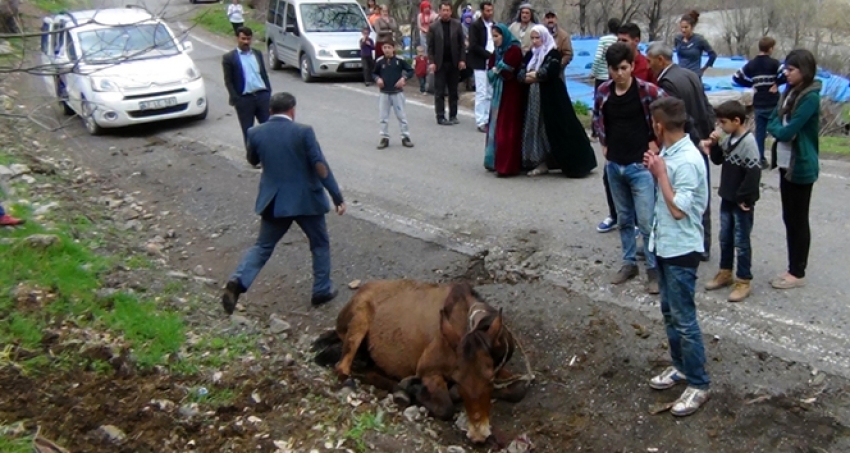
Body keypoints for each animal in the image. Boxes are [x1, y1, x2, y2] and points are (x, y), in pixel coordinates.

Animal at [312, 278, 528, 444]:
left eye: (490, 379)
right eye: (458, 379)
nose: (478, 435)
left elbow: (518, 388)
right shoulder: (427, 370)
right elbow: (446, 407)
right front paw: (421, 390)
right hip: (360, 320)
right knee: (343, 369)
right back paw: (403, 389)